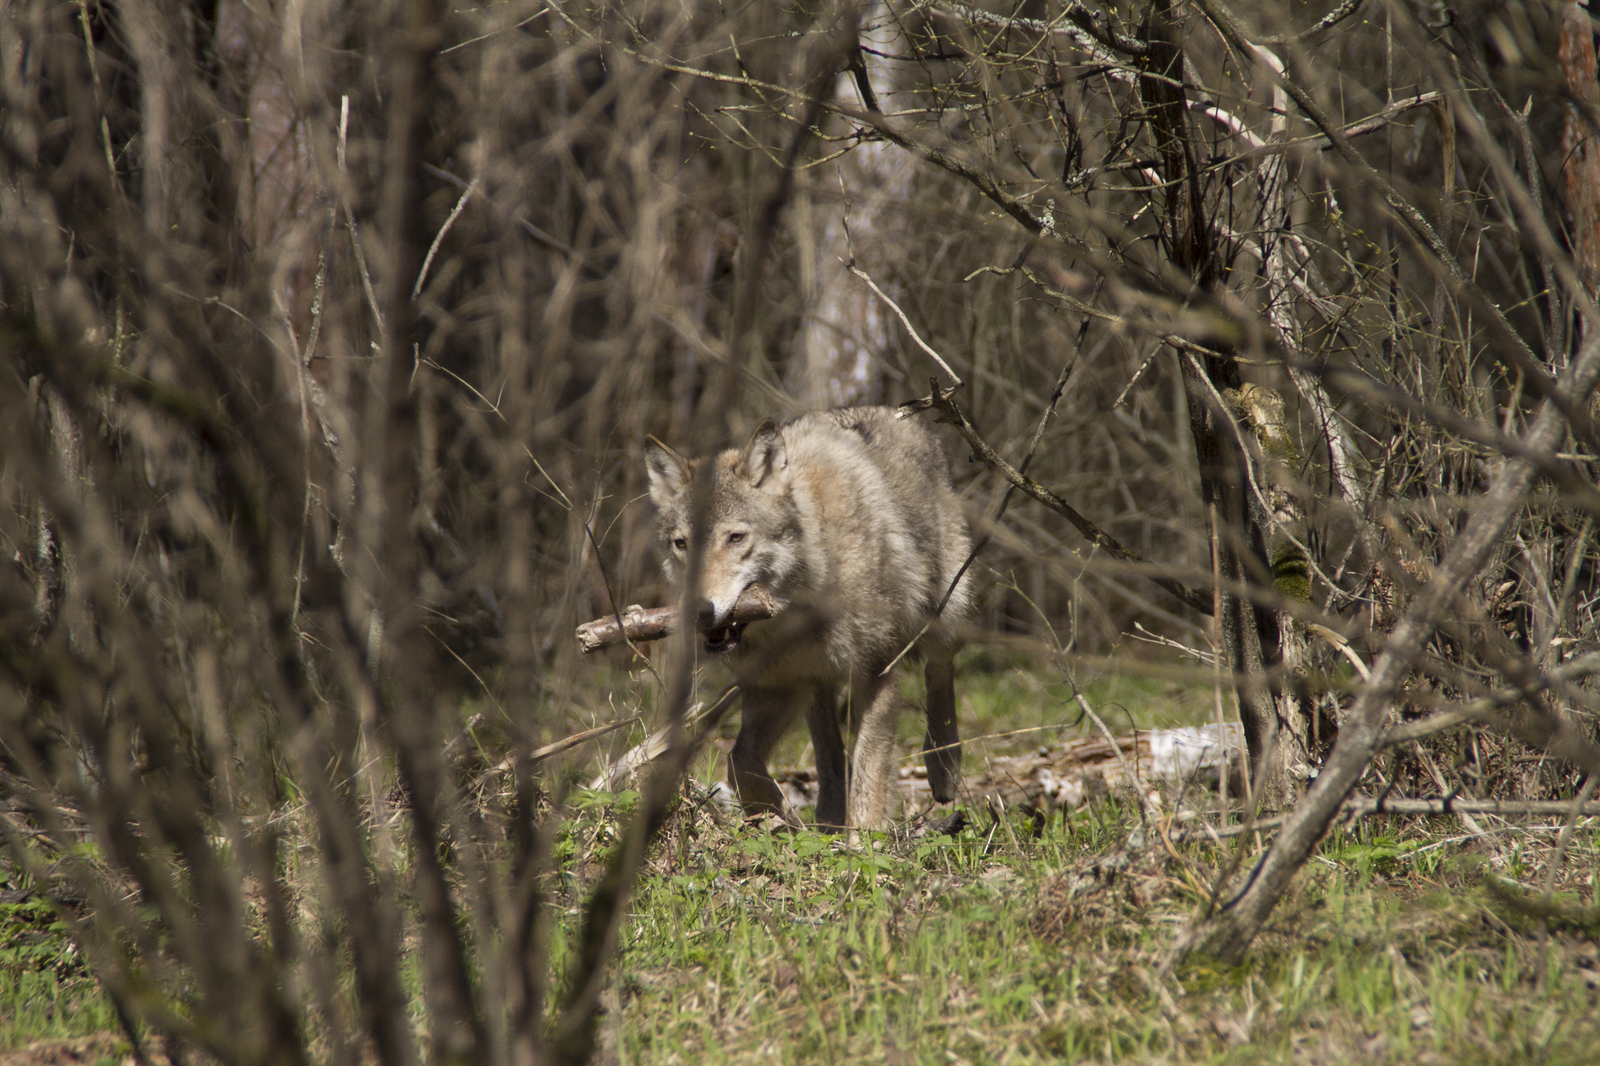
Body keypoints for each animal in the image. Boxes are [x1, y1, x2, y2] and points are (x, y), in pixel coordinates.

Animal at [640, 403, 966, 825]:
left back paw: (944, 766)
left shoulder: (877, 671)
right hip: (815, 682)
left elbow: (869, 771)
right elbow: (739, 761)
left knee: (941, 667)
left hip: (943, 614)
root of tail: (893, 411)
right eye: (681, 544)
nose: (699, 610)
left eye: (735, 538)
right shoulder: (777, 685)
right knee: (829, 752)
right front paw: (780, 817)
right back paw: (826, 817)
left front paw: (864, 838)